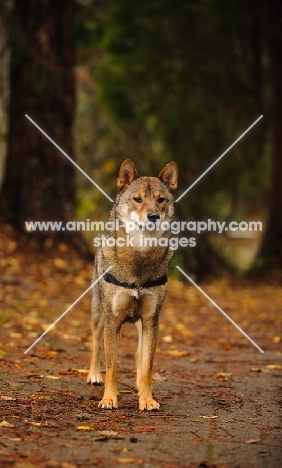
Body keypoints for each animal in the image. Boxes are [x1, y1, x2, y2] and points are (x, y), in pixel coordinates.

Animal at [87, 158, 177, 410]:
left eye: (160, 199)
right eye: (137, 199)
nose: (153, 216)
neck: (139, 259)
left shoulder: (151, 320)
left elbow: (147, 367)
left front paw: (147, 399)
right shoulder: (112, 321)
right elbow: (112, 366)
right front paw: (109, 398)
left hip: (141, 324)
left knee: (138, 354)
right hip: (99, 316)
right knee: (95, 344)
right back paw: (93, 375)